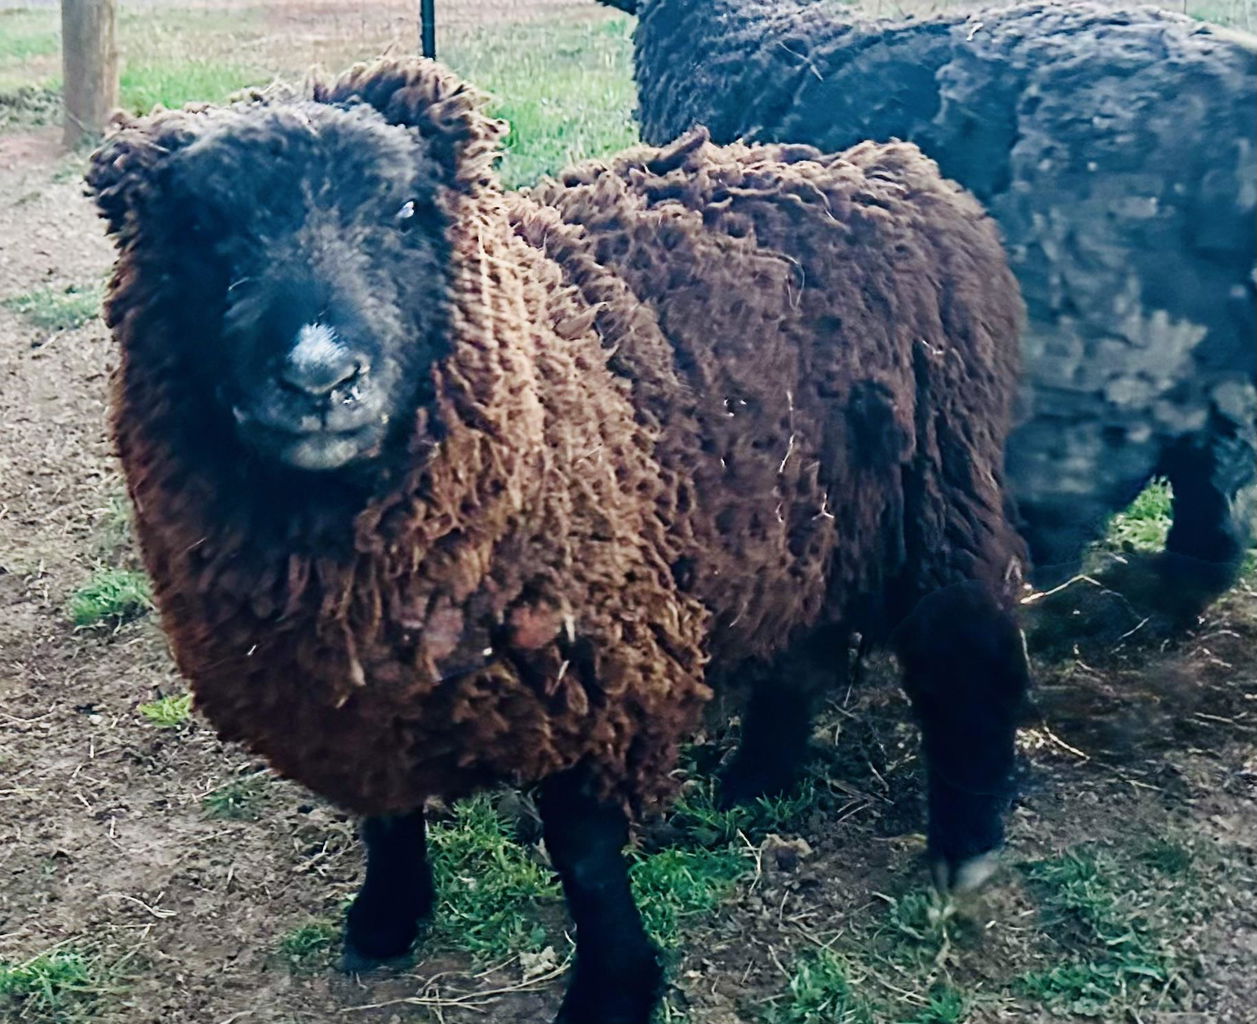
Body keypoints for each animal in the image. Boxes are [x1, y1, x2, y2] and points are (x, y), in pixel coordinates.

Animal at [87, 58, 1030, 1024]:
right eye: (198, 228)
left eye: (404, 210)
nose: (321, 378)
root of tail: (891, 166)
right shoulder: (364, 690)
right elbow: (387, 811)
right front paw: (386, 916)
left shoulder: (592, 655)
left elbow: (583, 853)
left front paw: (612, 985)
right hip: (798, 509)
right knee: (799, 640)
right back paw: (758, 775)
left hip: (939, 479)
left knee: (964, 652)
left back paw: (962, 853)